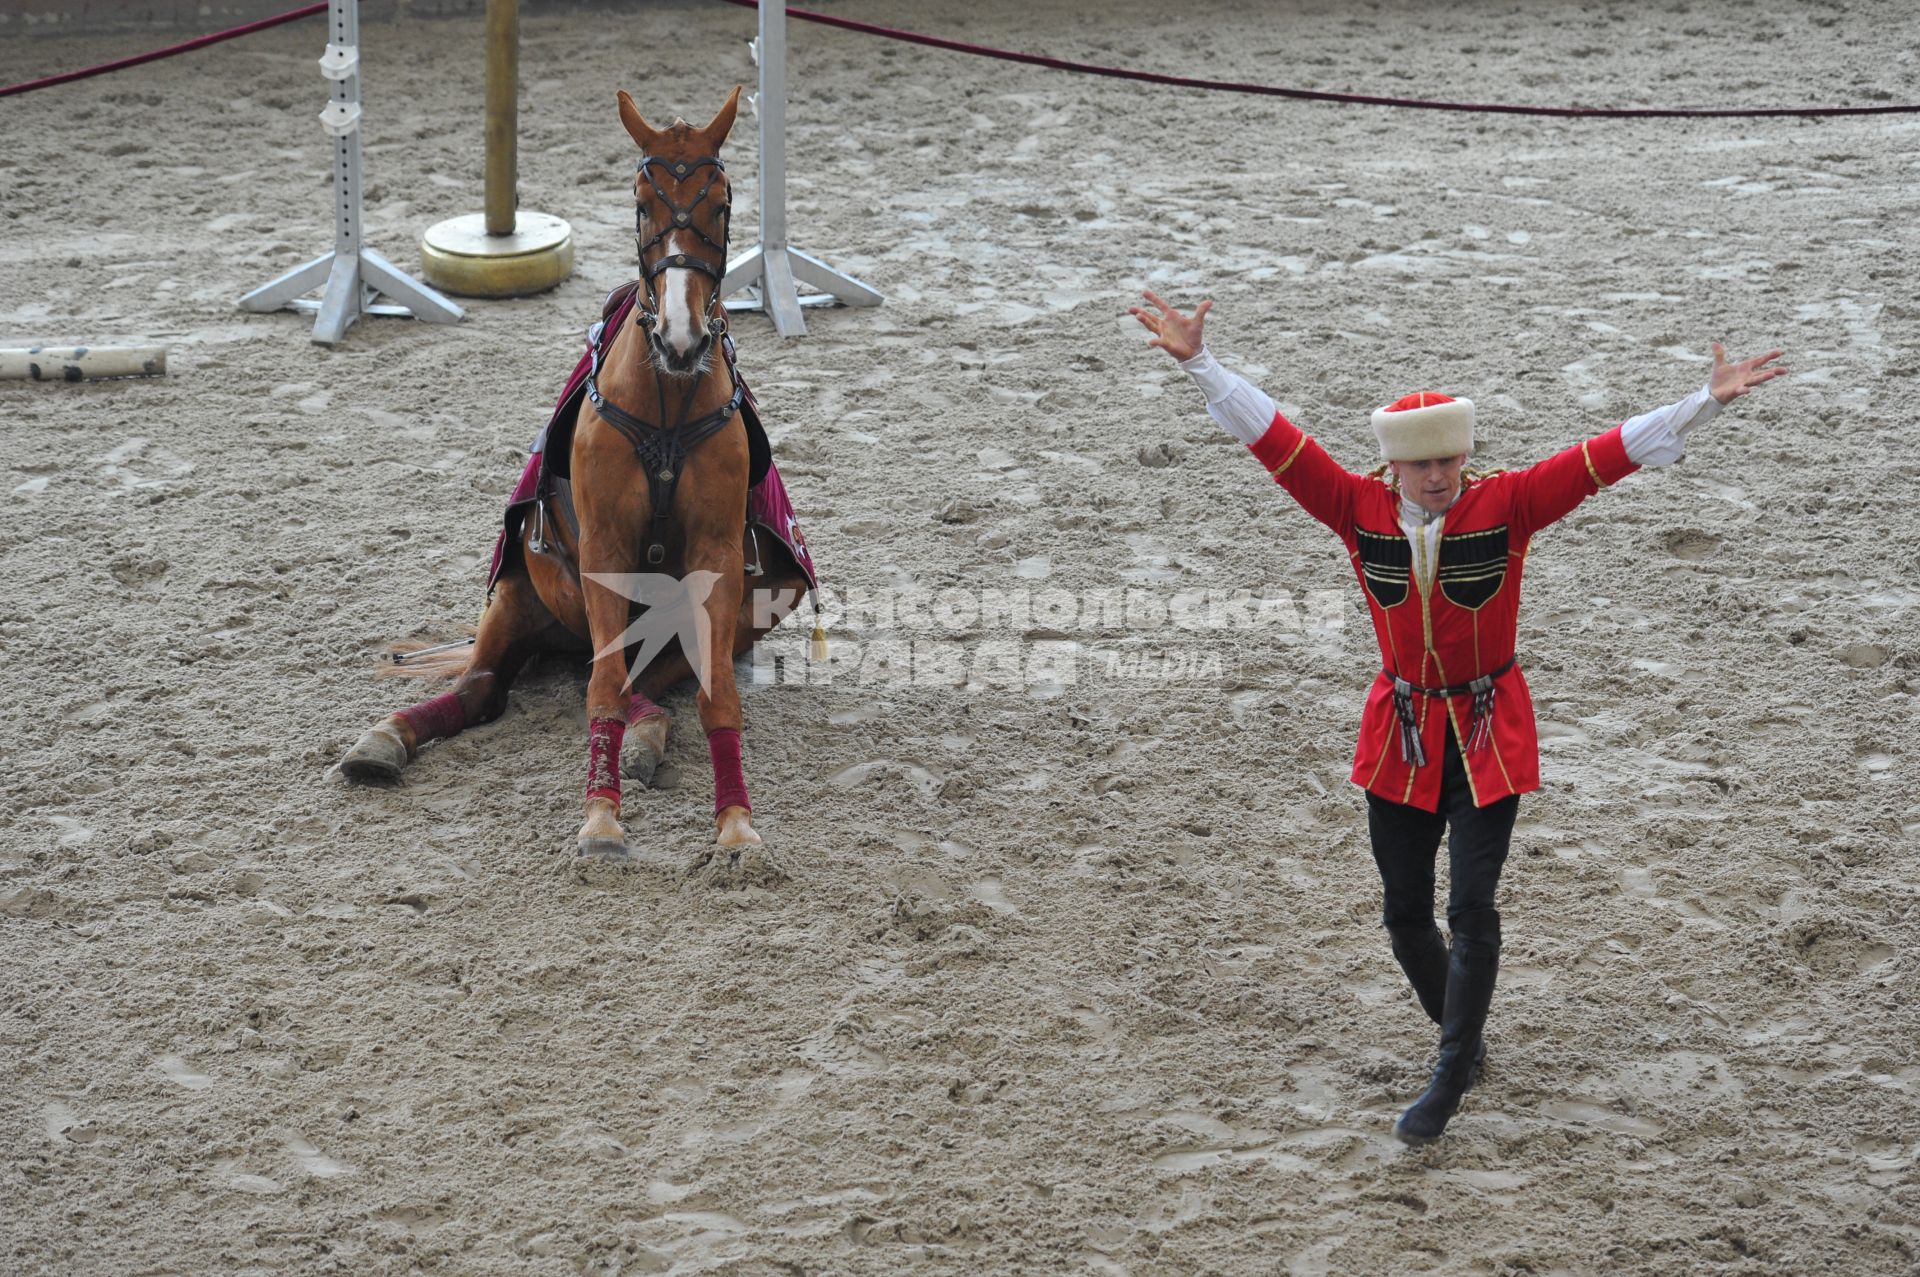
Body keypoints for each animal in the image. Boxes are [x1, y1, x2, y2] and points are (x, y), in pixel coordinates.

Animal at [341, 89, 814, 867]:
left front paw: (736, 827)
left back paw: (646, 741)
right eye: (642, 203)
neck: (666, 399)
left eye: (722, 202)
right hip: (517, 597)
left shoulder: (717, 562)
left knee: (643, 686)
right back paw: (384, 739)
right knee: (484, 686)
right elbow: (603, 689)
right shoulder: (602, 555)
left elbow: (714, 696)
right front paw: (601, 821)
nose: (682, 337)